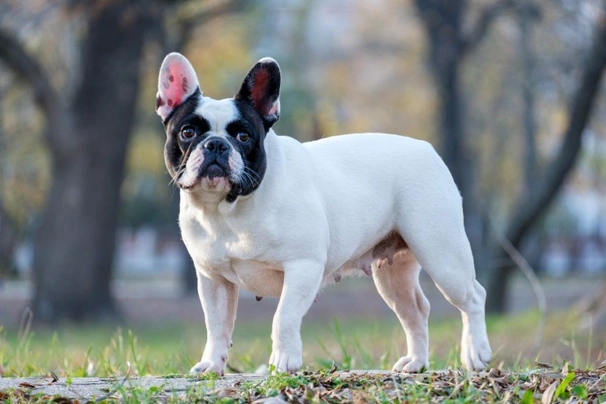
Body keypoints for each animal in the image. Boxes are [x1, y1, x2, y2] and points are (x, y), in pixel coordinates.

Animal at [154, 52, 492, 374]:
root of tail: (426, 148)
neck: (227, 209)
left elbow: (284, 318)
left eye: (244, 137)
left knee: (473, 297)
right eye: (187, 132)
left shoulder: (303, 267)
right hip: (393, 274)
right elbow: (216, 327)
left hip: (442, 254)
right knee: (416, 311)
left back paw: (475, 355)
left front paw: (284, 361)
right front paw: (212, 364)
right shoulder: (213, 280)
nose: (215, 144)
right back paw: (416, 362)